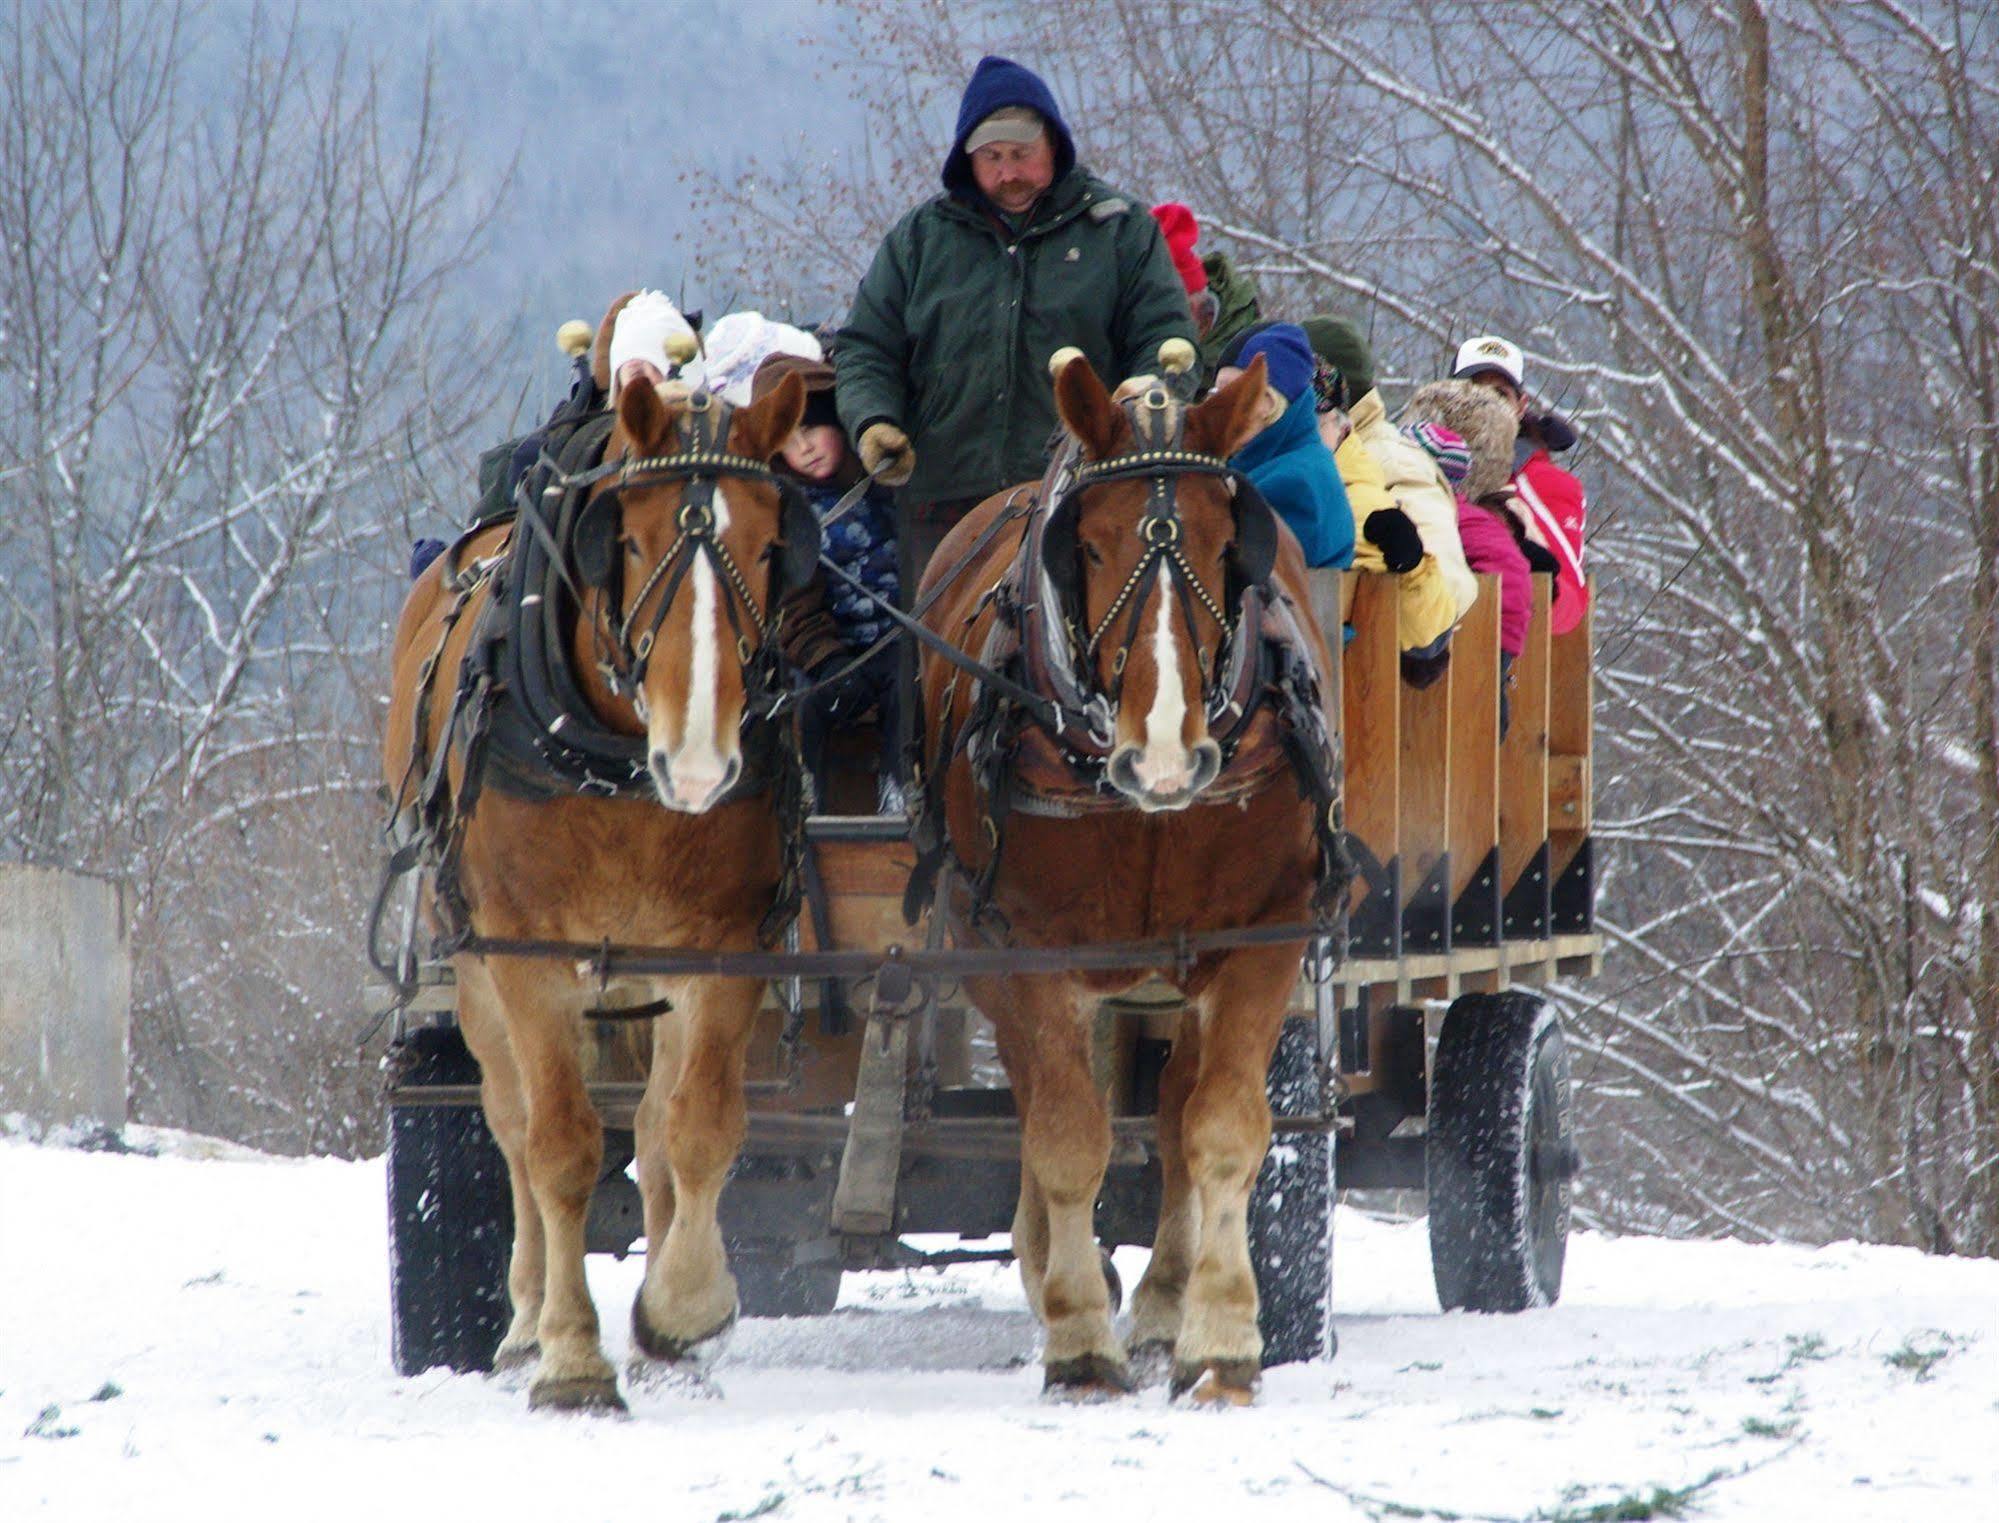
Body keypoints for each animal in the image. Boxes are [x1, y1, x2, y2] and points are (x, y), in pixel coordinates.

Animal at [381, 317, 811, 1399]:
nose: (697, 762)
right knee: (508, 1119)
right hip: (472, 960)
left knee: (652, 1129)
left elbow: (695, 1127)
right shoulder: (528, 956)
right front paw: (571, 1354)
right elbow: (560, 1144)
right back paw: (525, 1317)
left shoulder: (722, 945)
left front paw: (684, 1309)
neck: (616, 761)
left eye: (771, 545)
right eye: (630, 540)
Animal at [919, 355, 1343, 1399]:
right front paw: (1077, 1335)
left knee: (1173, 1103)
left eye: (1230, 542)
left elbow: (1220, 1127)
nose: (1164, 758)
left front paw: (1220, 1337)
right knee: (1042, 1094)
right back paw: (1053, 1271)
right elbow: (1069, 1135)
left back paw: (1160, 1302)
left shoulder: (1260, 936)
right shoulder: (1031, 951)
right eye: (1091, 545)